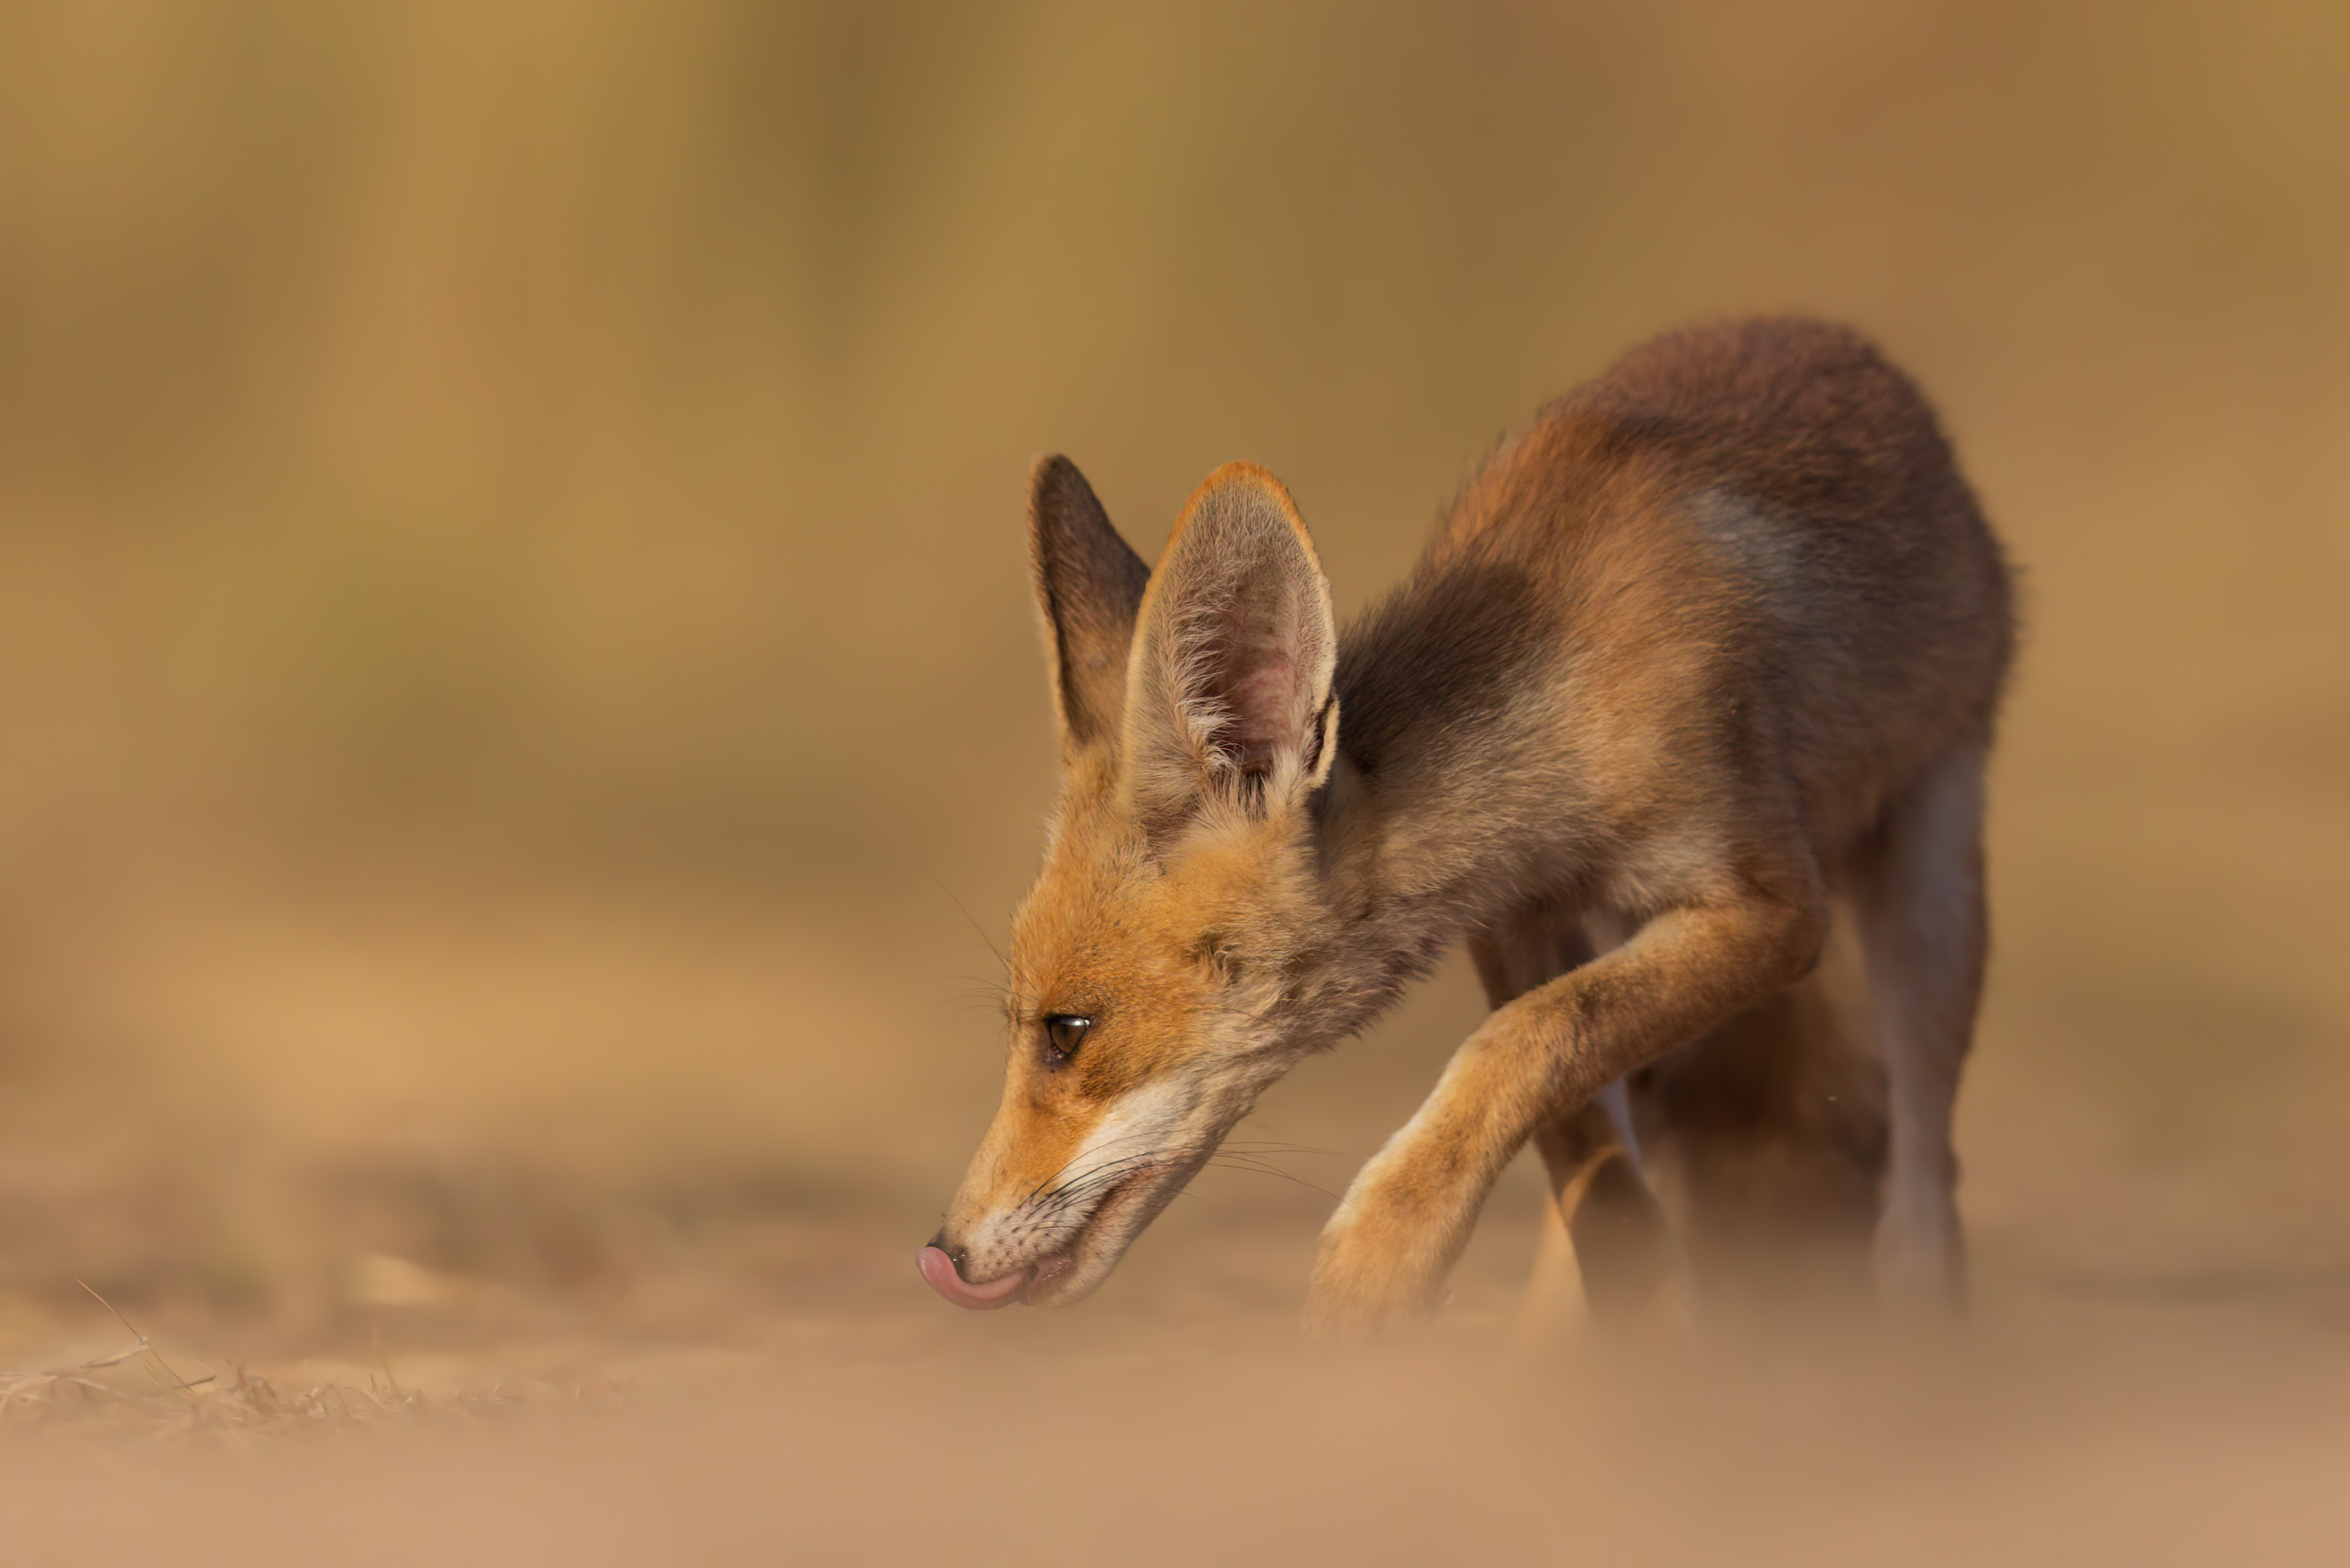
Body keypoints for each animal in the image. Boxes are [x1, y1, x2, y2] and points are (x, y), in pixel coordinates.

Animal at [916, 322, 2021, 1354]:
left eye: (1066, 1031)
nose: (943, 1251)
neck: (1562, 706)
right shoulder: (1515, 914)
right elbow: (1569, 1121)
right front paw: (1633, 1310)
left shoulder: (1771, 903)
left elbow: (1529, 1038)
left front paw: (1384, 1254)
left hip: (1928, 903)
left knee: (1924, 1192)